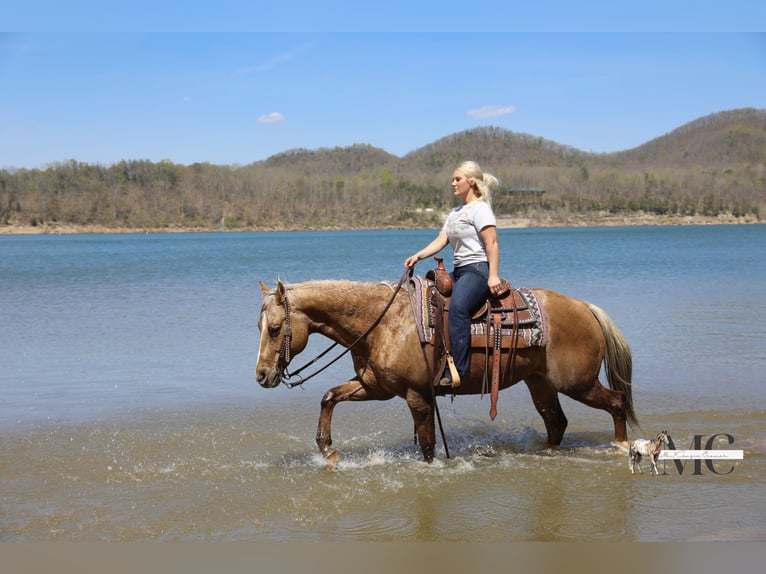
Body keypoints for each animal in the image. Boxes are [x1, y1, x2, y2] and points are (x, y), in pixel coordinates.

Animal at [255, 278, 638, 464]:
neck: (384, 322)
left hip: (578, 383)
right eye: (258, 325)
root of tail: (585, 307)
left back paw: (623, 447)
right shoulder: (375, 386)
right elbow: (329, 397)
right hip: (540, 384)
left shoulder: (417, 396)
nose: (261, 375)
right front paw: (328, 450)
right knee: (556, 422)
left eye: (274, 329)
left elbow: (427, 446)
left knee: (617, 402)